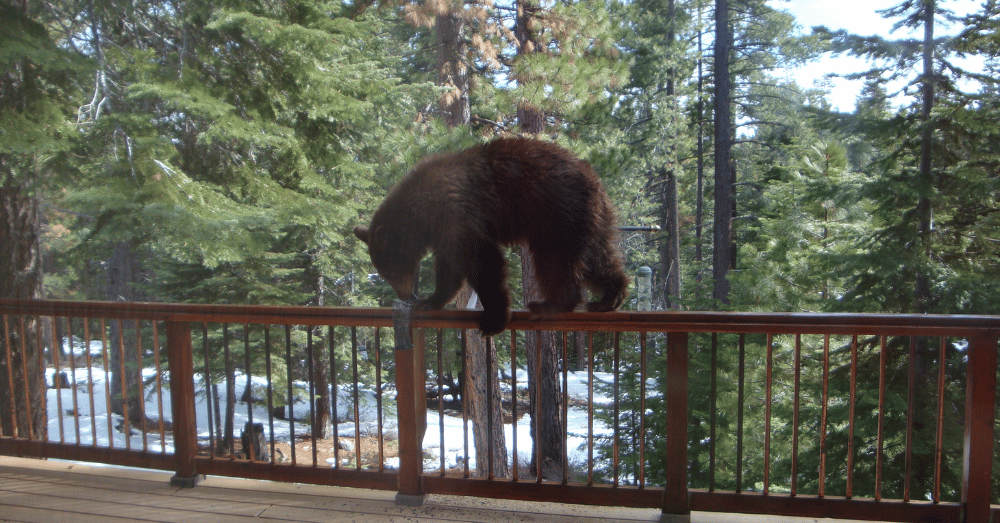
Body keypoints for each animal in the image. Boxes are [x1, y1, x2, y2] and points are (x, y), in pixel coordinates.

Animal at [353, 137, 628, 336]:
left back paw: (550, 304)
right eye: (384, 273)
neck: (423, 215)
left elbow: (483, 262)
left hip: (555, 212)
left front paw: (492, 319)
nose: (405, 296)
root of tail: (593, 178)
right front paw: (430, 301)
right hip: (591, 218)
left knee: (555, 259)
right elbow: (450, 268)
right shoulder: (447, 230)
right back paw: (609, 296)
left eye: (391, 271)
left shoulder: (458, 215)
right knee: (597, 256)